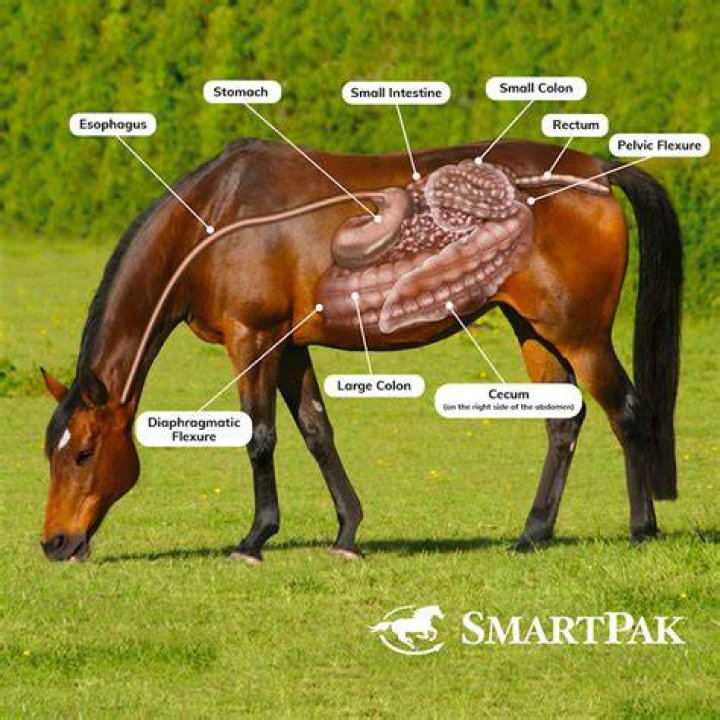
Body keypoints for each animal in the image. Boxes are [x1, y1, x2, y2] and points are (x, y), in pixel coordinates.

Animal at [40, 137, 682, 562]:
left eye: (84, 454)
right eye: (52, 452)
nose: (54, 543)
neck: (216, 217)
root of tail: (596, 172)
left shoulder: (252, 338)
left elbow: (260, 437)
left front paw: (254, 538)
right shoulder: (288, 345)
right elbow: (317, 432)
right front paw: (347, 533)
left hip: (580, 334)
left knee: (626, 411)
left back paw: (641, 529)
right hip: (534, 328)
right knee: (562, 423)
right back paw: (533, 534)